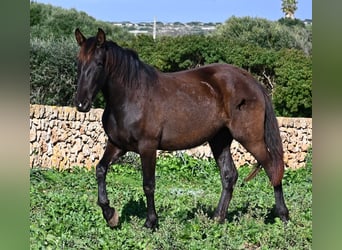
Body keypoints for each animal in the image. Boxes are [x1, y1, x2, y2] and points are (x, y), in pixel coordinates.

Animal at [73, 28, 288, 229]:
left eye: (99, 63)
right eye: (79, 62)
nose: (81, 104)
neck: (131, 96)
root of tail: (252, 82)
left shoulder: (147, 147)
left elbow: (148, 184)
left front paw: (150, 222)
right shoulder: (117, 144)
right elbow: (100, 170)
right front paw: (110, 214)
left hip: (251, 138)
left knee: (272, 169)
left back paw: (283, 217)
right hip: (219, 140)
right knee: (229, 176)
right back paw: (217, 219)